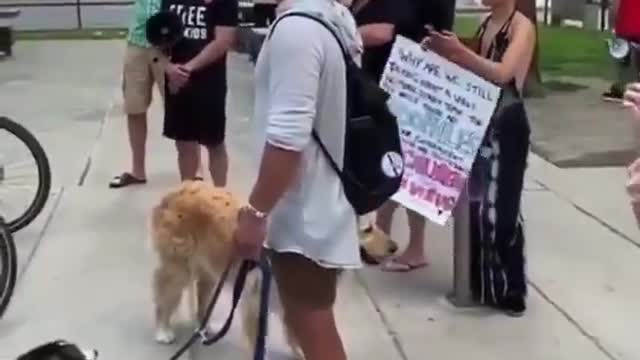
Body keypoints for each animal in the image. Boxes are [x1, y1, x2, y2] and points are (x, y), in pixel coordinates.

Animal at [151, 181, 398, 356]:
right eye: (367, 230)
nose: (395, 247)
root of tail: (177, 190)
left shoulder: (294, 302)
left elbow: (296, 335)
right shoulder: (256, 303)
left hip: (211, 268)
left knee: (202, 296)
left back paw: (204, 327)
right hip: (178, 269)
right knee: (164, 296)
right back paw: (163, 331)